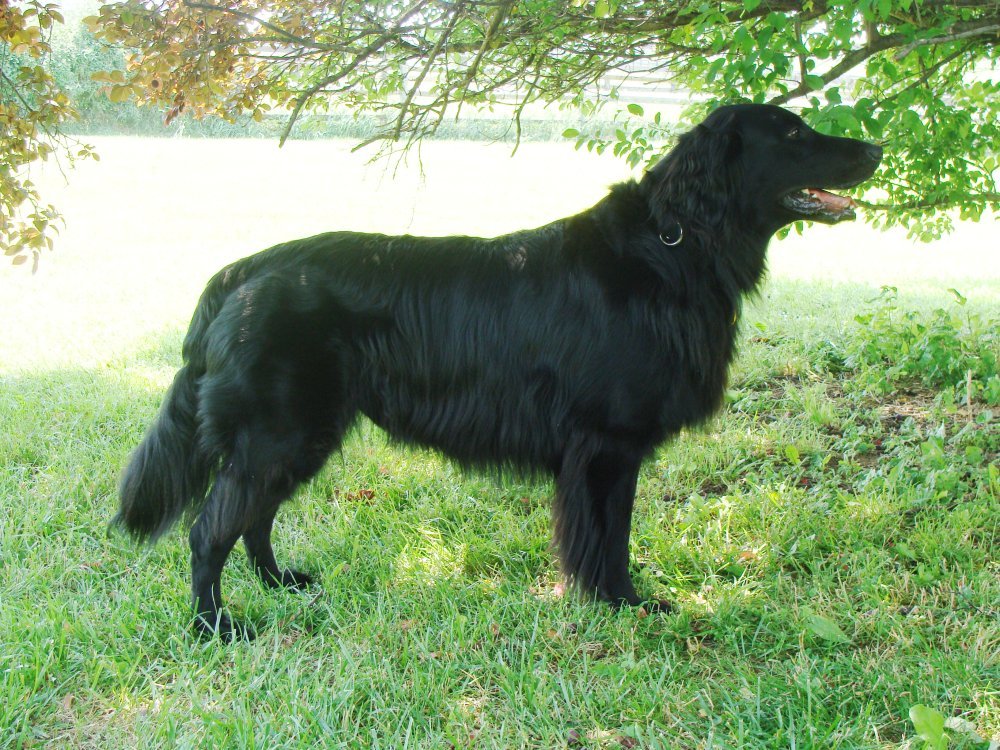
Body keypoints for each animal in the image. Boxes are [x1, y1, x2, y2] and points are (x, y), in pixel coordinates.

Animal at [115, 103, 882, 639]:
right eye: (792, 134)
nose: (876, 148)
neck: (677, 244)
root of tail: (244, 271)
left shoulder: (606, 449)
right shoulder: (606, 447)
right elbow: (607, 542)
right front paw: (622, 607)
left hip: (296, 438)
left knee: (253, 521)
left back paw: (282, 586)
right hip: (277, 436)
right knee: (210, 530)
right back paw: (216, 627)